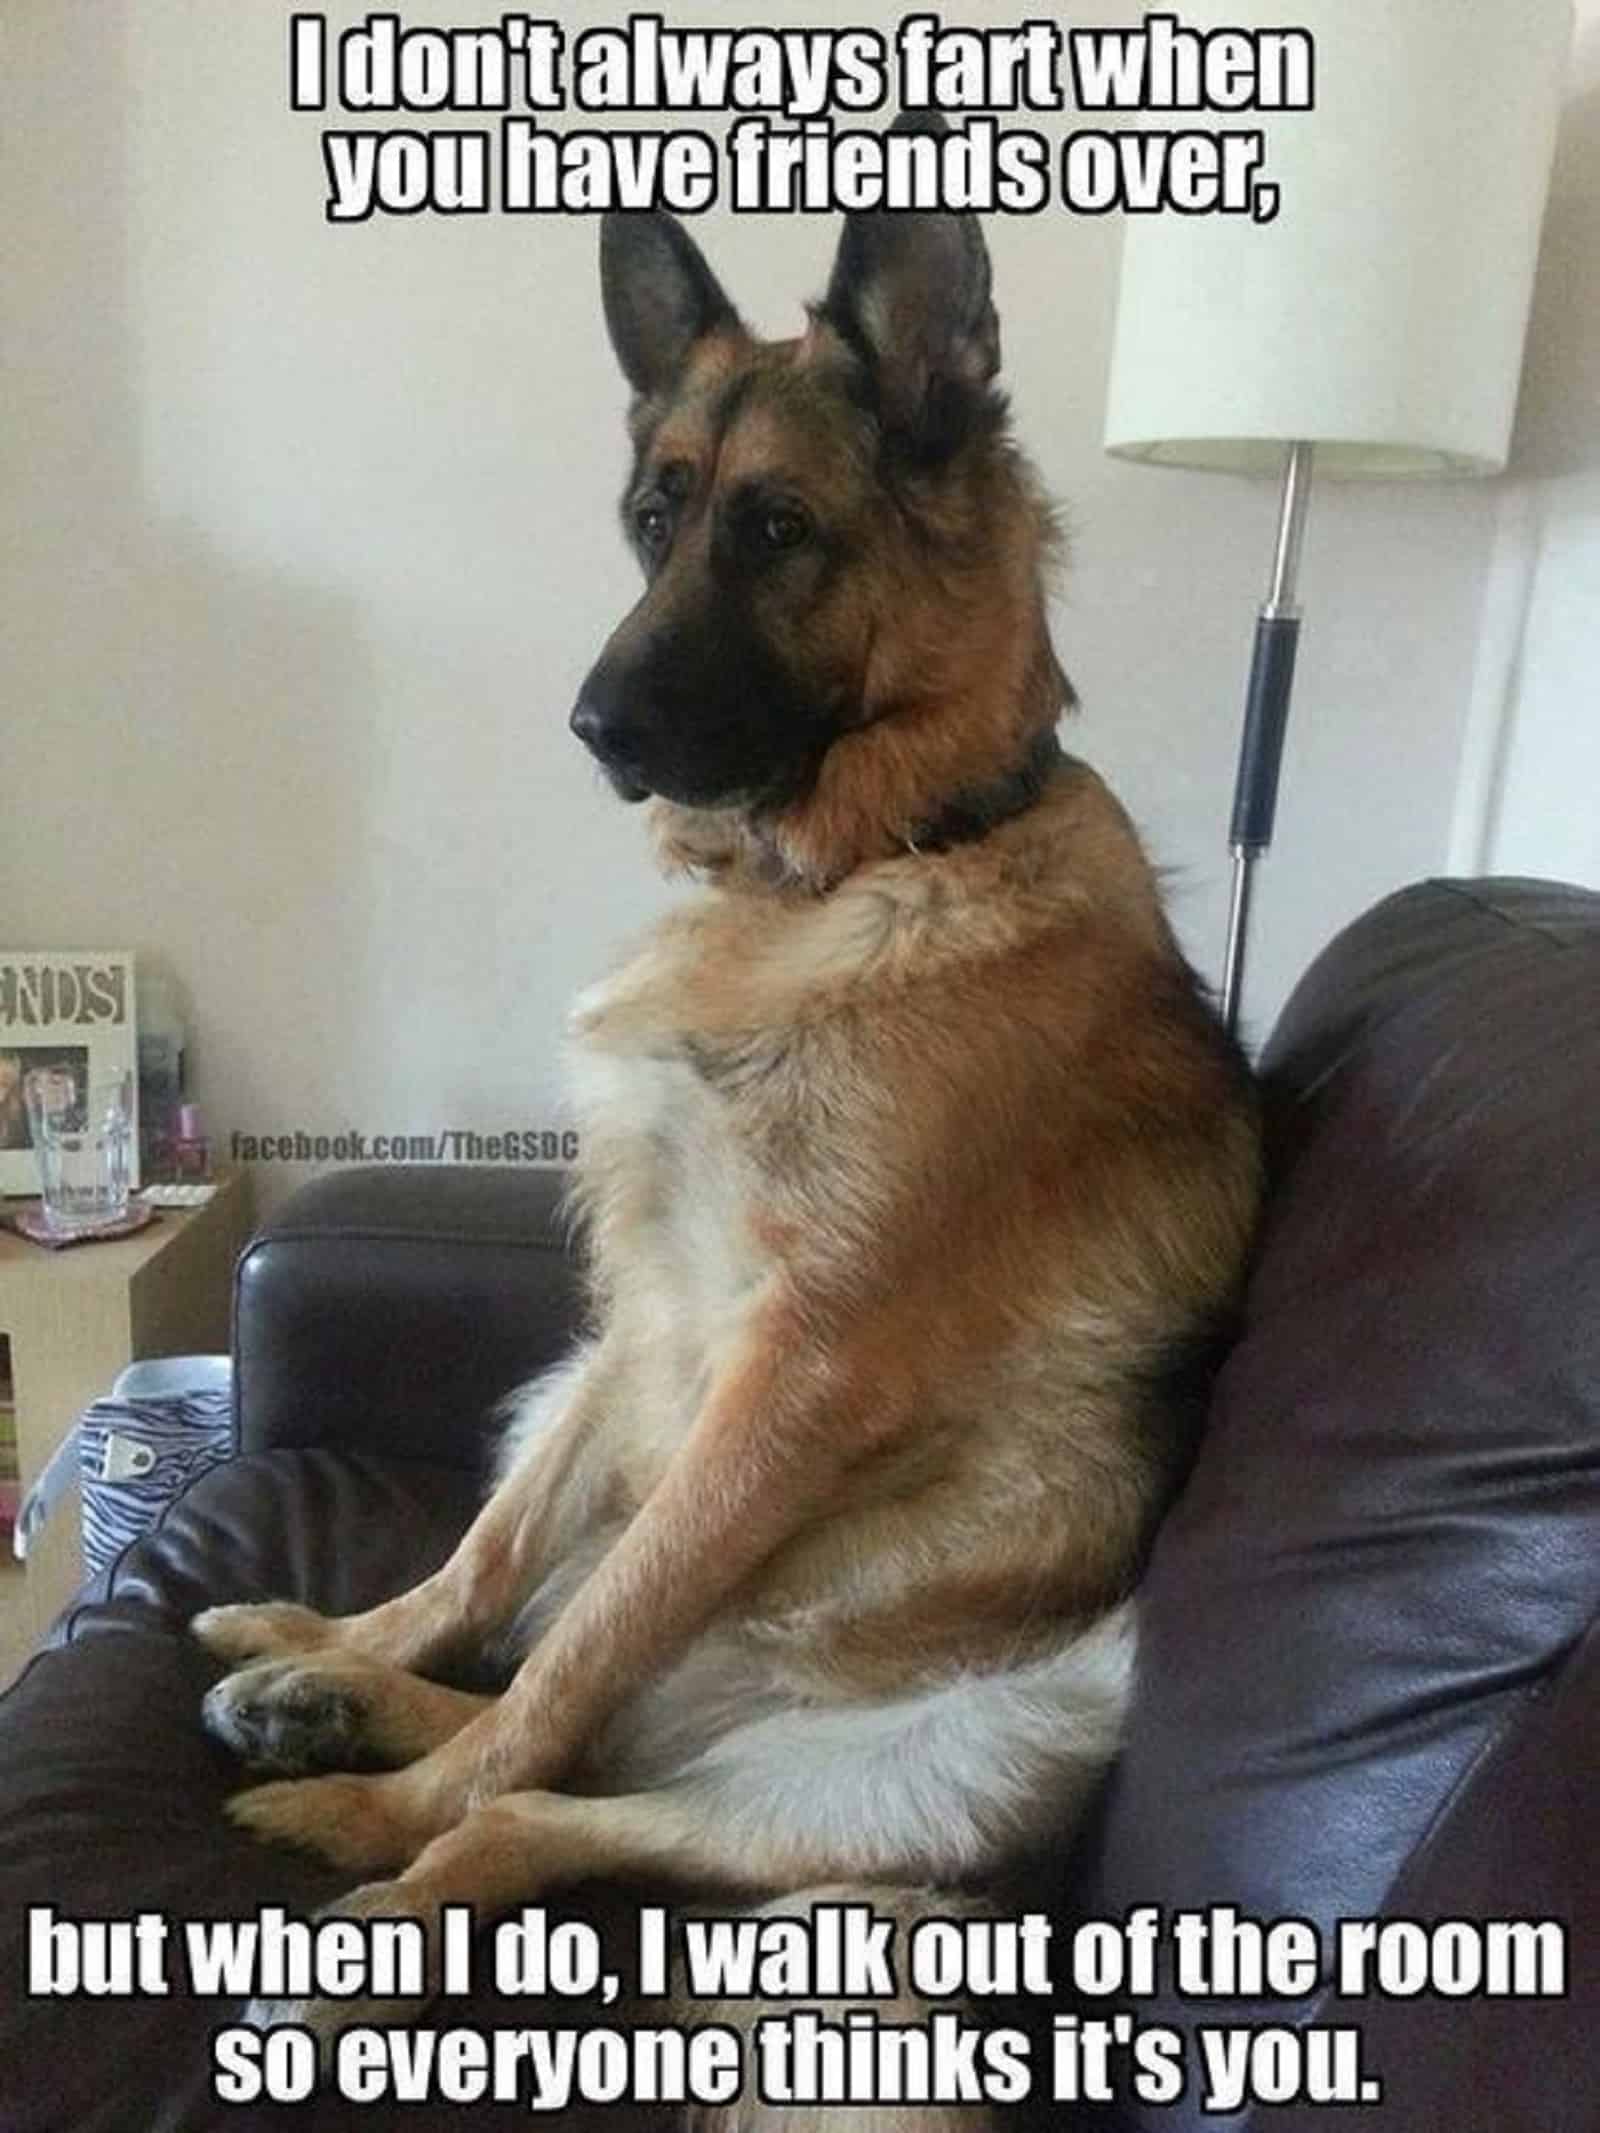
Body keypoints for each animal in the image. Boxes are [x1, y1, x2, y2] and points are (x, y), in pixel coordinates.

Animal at [194, 129, 1262, 2115]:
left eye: (776, 530)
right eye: (653, 517)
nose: (591, 725)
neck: (863, 868)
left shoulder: (796, 1369)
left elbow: (581, 1645)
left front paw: (389, 1799)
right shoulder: (642, 1308)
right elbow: (500, 1558)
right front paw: (356, 1634)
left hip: (985, 1737)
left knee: (536, 1798)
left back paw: (360, 1876)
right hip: (593, 1432)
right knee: (560, 1708)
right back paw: (321, 1681)